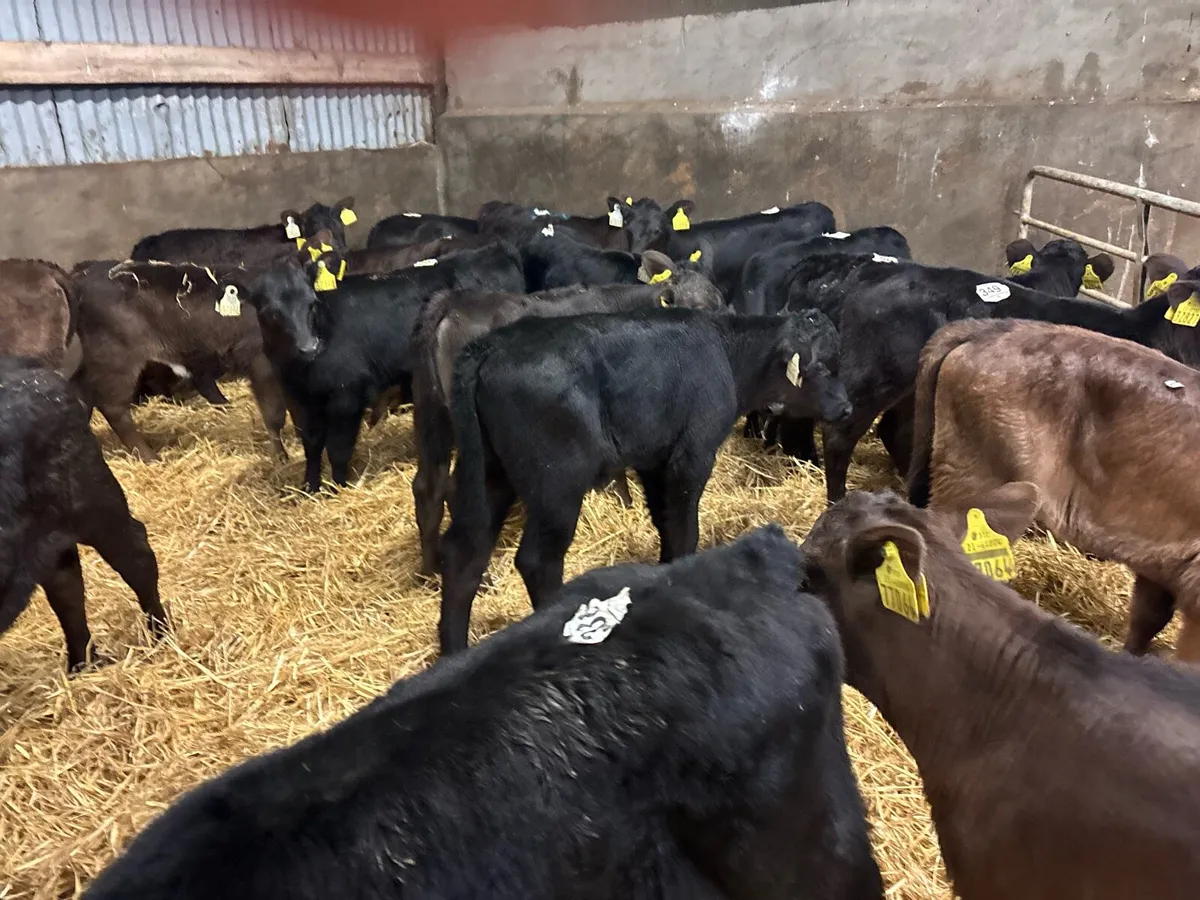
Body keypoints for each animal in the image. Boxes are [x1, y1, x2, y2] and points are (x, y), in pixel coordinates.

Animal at [247, 241, 525, 492]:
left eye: (312, 303)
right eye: (271, 312)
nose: (309, 347)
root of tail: (494, 250)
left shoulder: (347, 396)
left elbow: (338, 448)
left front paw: (338, 488)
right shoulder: (300, 400)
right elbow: (312, 445)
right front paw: (309, 486)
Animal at [410, 256, 727, 575]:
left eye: (719, 302)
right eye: (692, 309)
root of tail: (453, 301)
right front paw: (625, 502)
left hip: (431, 414)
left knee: (429, 486)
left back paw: (429, 569)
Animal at [437, 307, 851, 654]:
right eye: (823, 367)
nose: (846, 407)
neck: (729, 356)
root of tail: (489, 346)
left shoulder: (654, 461)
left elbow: (665, 522)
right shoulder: (691, 454)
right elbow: (684, 529)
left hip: (491, 476)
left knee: (464, 554)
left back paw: (454, 650)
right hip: (556, 485)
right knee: (538, 560)